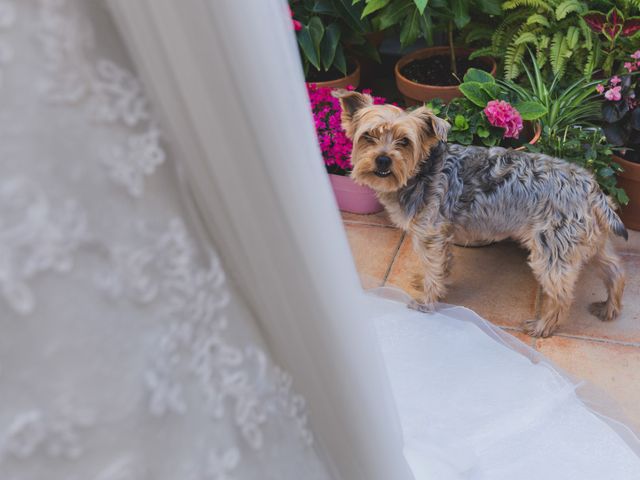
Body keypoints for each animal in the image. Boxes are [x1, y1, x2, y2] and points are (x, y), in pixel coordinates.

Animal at [338, 90, 628, 338]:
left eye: (404, 141)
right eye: (368, 136)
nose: (383, 160)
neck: (421, 170)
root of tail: (590, 186)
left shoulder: (429, 234)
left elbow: (432, 267)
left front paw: (427, 302)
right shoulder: (440, 234)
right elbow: (438, 265)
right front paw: (428, 282)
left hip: (551, 249)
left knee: (562, 295)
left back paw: (543, 326)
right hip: (587, 241)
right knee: (615, 269)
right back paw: (609, 308)